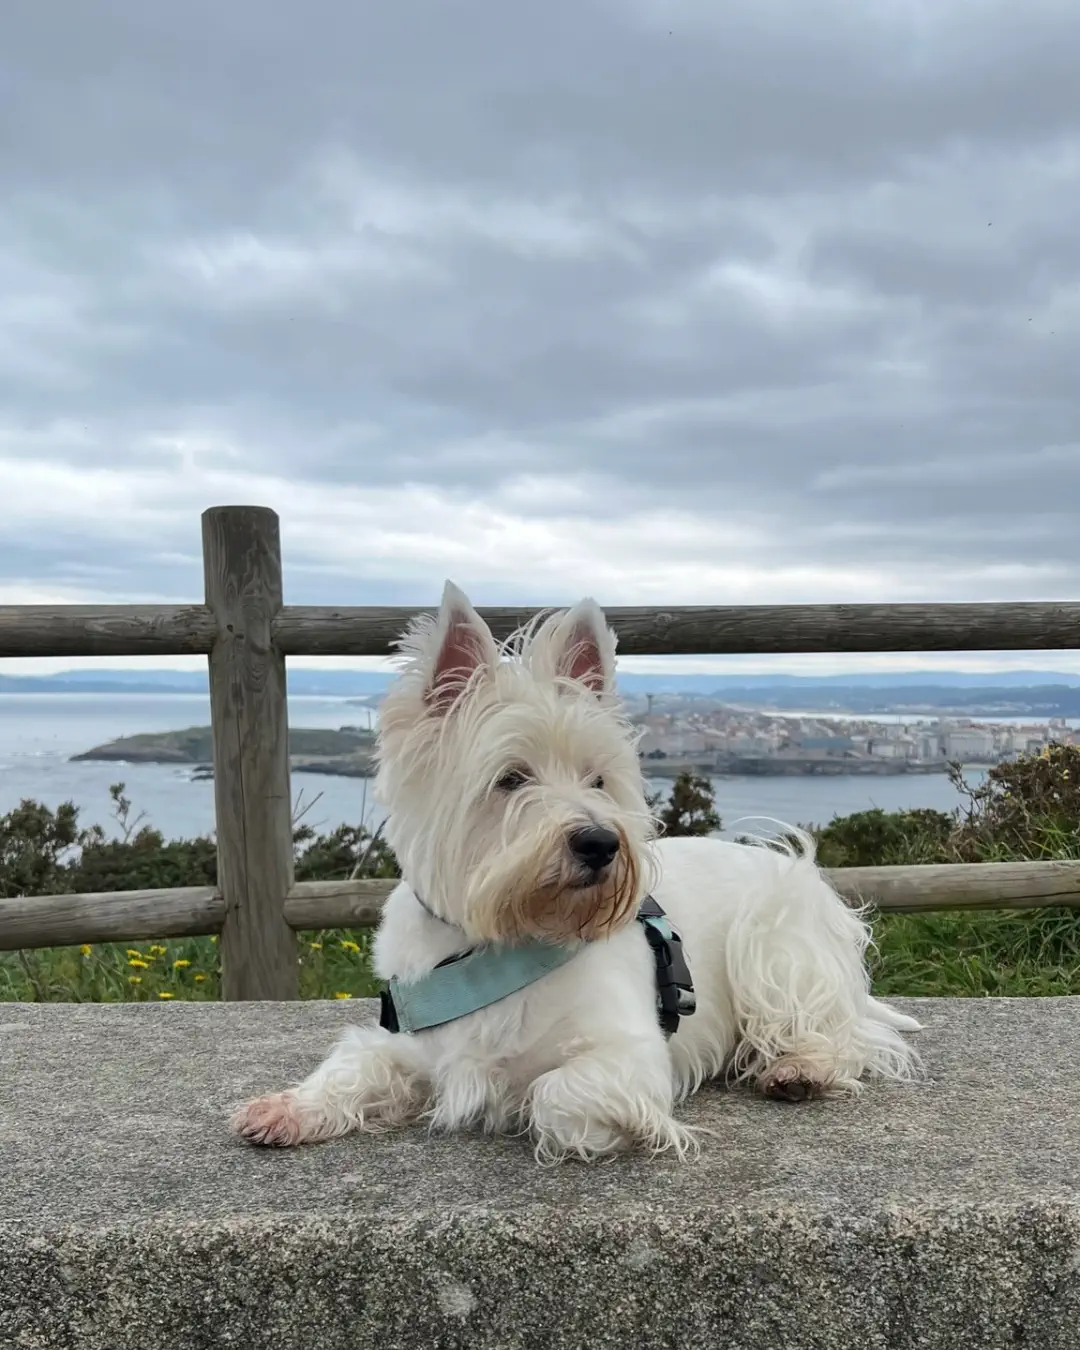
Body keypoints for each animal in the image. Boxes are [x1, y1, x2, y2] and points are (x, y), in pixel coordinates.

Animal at [233, 585, 918, 1166]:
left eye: (597, 778)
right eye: (511, 778)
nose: (600, 843)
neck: (496, 942)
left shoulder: (632, 1056)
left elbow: (552, 1093)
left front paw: (606, 1127)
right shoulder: (405, 1041)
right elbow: (354, 1066)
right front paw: (284, 1109)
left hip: (775, 943)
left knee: (844, 1032)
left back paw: (800, 1068)